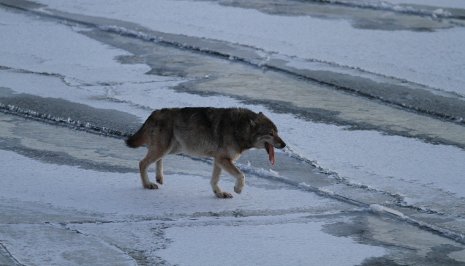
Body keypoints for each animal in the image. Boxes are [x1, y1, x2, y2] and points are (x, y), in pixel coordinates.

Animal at [125, 107, 284, 197]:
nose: (284, 144)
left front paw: (219, 193)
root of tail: (156, 112)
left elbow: (214, 180)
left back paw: (159, 178)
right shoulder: (222, 159)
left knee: (156, 160)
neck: (240, 127)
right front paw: (237, 189)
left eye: (277, 132)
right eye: (270, 133)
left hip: (172, 149)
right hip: (165, 149)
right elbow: (241, 175)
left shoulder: (219, 160)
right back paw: (147, 185)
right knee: (142, 163)